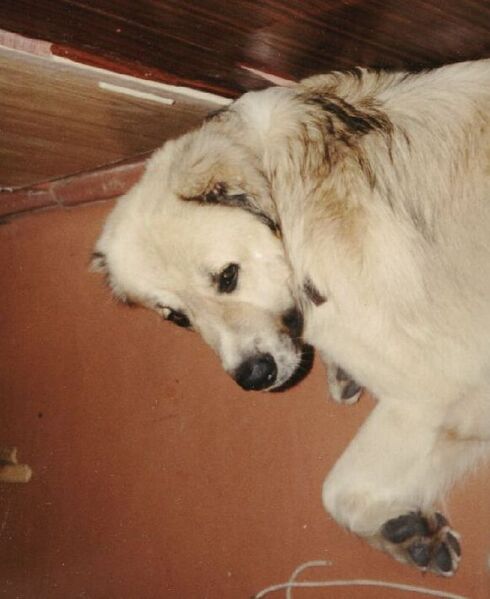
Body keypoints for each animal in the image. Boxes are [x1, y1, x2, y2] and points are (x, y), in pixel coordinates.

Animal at [93, 60, 490, 576]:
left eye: (227, 277)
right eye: (177, 317)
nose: (252, 376)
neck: (284, 191)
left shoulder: (438, 385)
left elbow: (336, 492)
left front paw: (399, 529)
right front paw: (405, 531)